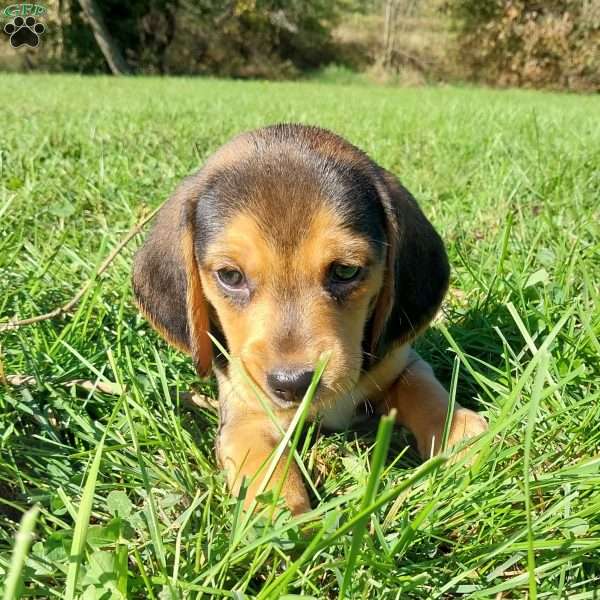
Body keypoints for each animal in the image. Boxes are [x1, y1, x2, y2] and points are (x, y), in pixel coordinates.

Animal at [132, 124, 488, 512]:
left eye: (346, 270)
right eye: (230, 276)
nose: (293, 384)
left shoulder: (400, 362)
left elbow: (424, 390)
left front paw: (460, 434)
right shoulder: (245, 418)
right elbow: (267, 475)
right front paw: (283, 518)